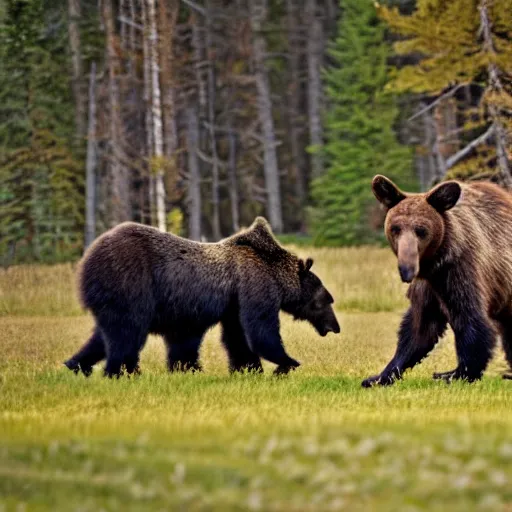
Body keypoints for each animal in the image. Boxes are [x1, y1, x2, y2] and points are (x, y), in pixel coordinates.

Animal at [66, 216, 342, 376]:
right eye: (325, 300)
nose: (335, 327)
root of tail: (87, 261)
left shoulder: (234, 302)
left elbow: (237, 337)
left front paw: (249, 369)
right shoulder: (254, 285)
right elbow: (261, 330)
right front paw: (288, 362)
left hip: (112, 298)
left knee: (105, 335)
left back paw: (76, 365)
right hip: (130, 285)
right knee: (127, 332)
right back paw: (123, 371)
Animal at [362, 174, 512, 386]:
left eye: (421, 230)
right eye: (395, 228)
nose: (406, 270)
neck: (434, 261)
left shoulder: (460, 271)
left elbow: (471, 319)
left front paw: (453, 373)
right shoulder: (427, 285)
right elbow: (420, 329)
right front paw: (378, 376)